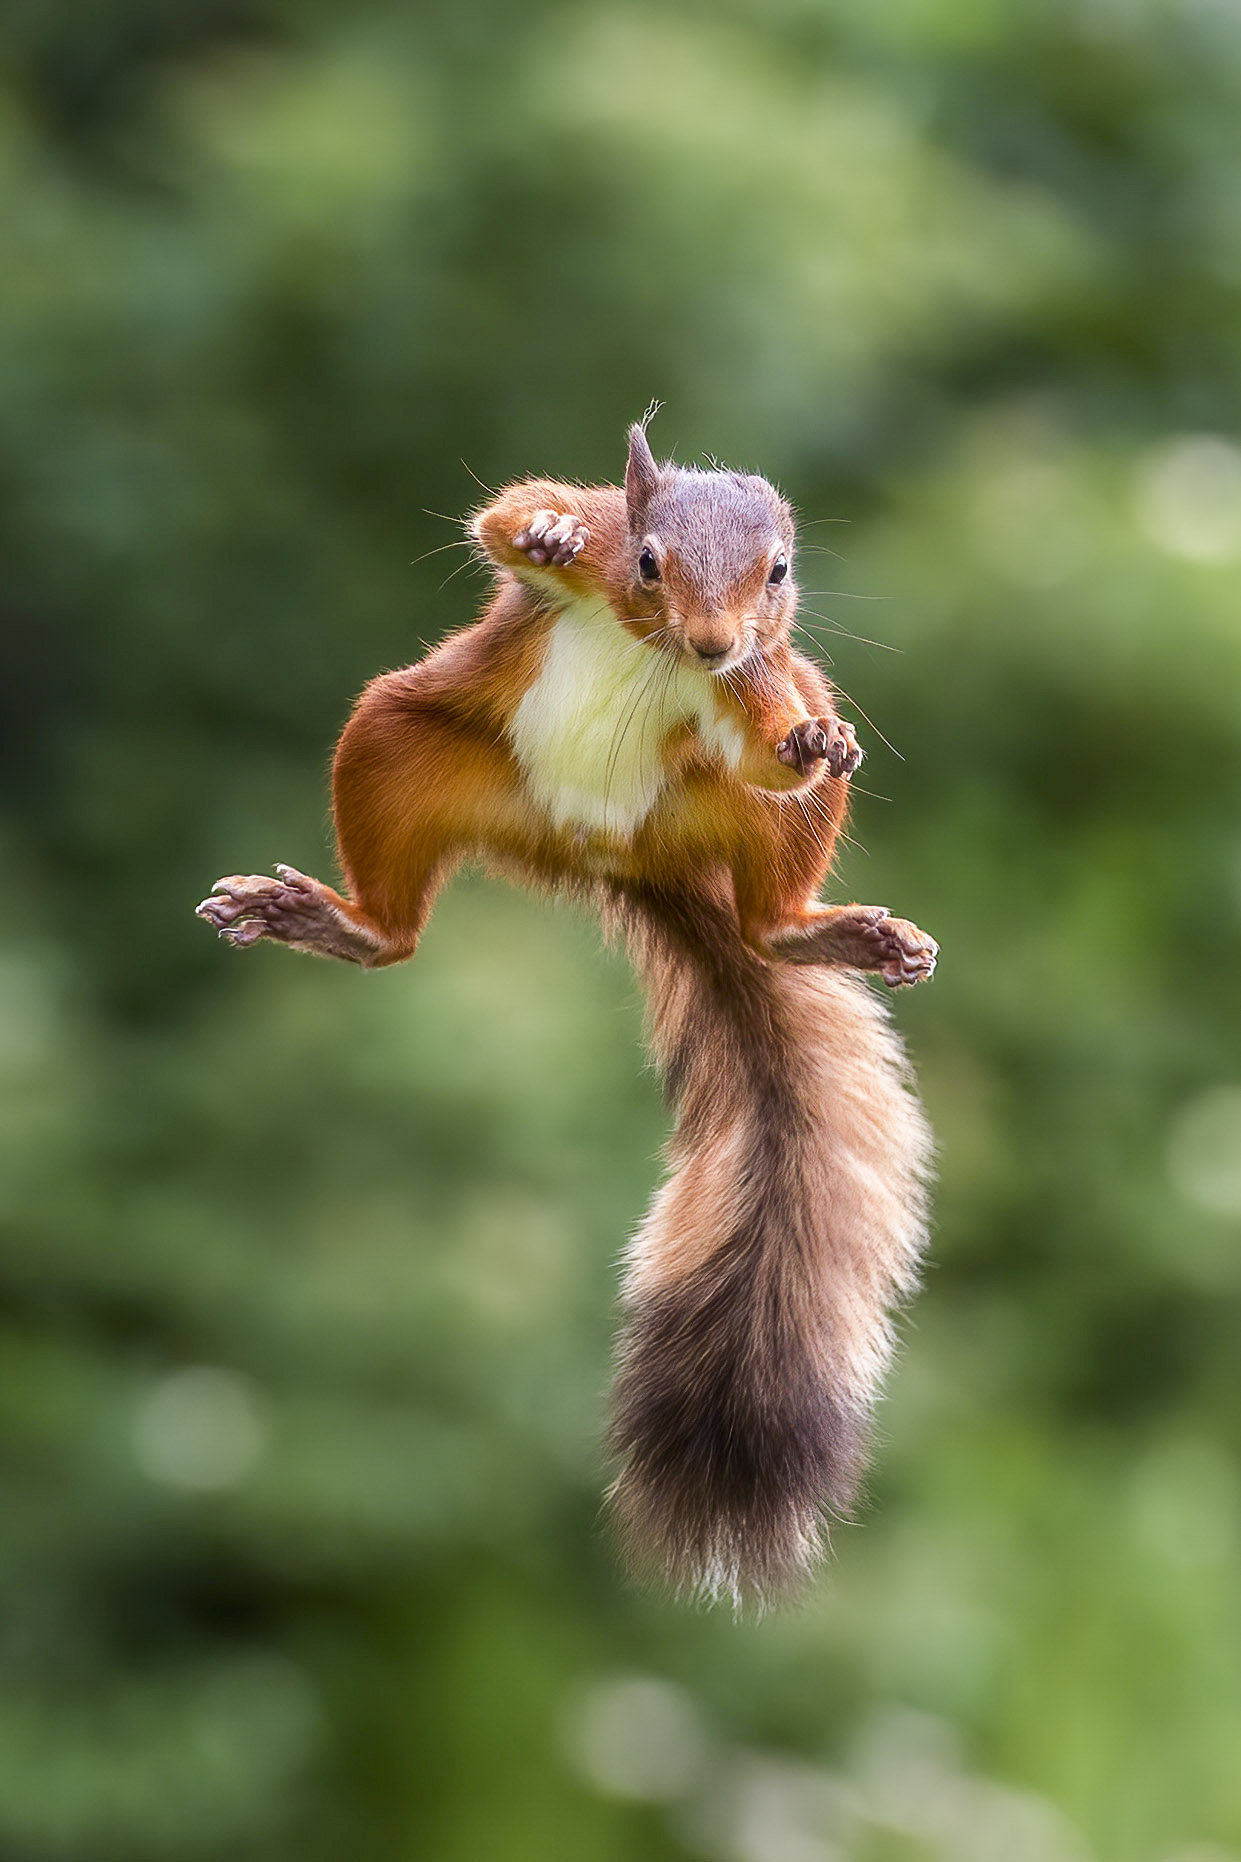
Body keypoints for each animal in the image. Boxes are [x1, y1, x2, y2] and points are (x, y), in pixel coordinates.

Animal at [195, 422, 927, 1601]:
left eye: (778, 573)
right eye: (647, 561)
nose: (714, 644)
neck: (659, 649)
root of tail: (606, 850)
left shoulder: (758, 688)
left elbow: (773, 754)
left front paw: (812, 745)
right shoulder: (591, 536)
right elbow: (511, 514)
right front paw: (536, 532)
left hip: (731, 786)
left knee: (767, 907)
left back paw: (824, 926)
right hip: (403, 739)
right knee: (395, 922)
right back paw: (331, 919)